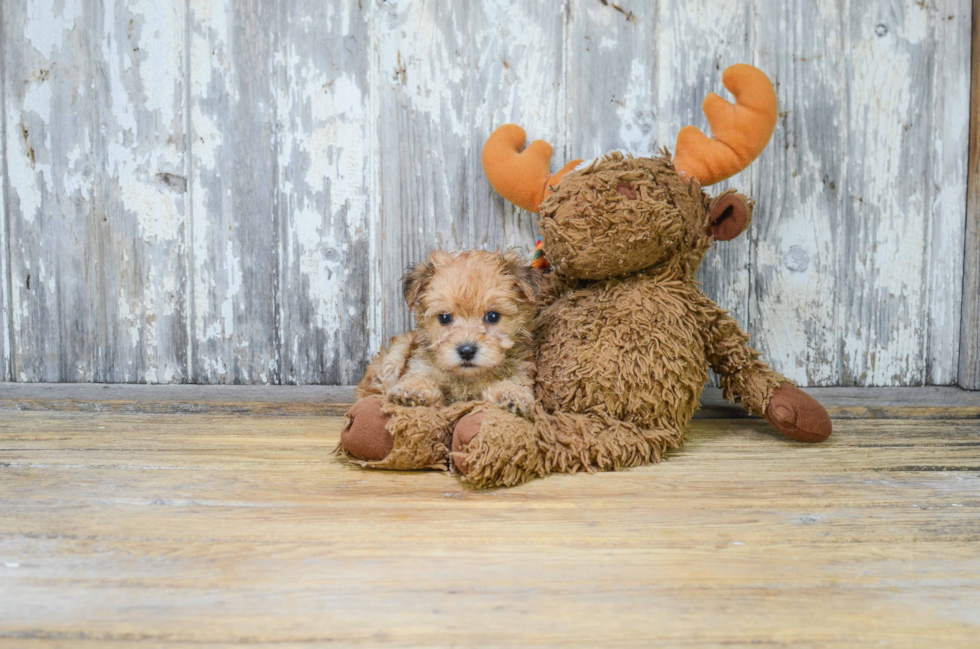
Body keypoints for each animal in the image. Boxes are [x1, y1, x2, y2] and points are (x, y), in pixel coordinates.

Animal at [360, 248, 540, 416]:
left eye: (493, 316)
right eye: (445, 318)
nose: (466, 351)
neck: (466, 377)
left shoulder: (520, 370)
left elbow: (514, 382)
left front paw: (512, 394)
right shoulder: (421, 365)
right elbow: (420, 376)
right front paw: (413, 390)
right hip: (396, 353)